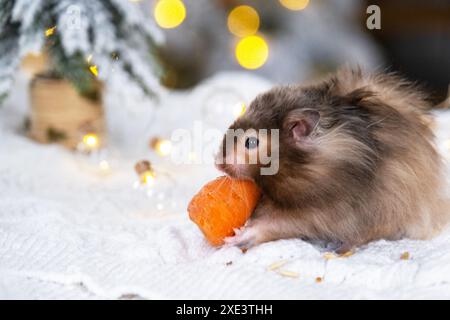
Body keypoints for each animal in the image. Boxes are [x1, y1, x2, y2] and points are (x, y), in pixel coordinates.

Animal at [214, 67, 450, 252]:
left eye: (251, 142)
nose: (217, 163)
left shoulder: (319, 209)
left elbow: (273, 223)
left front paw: (237, 236)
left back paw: (339, 248)